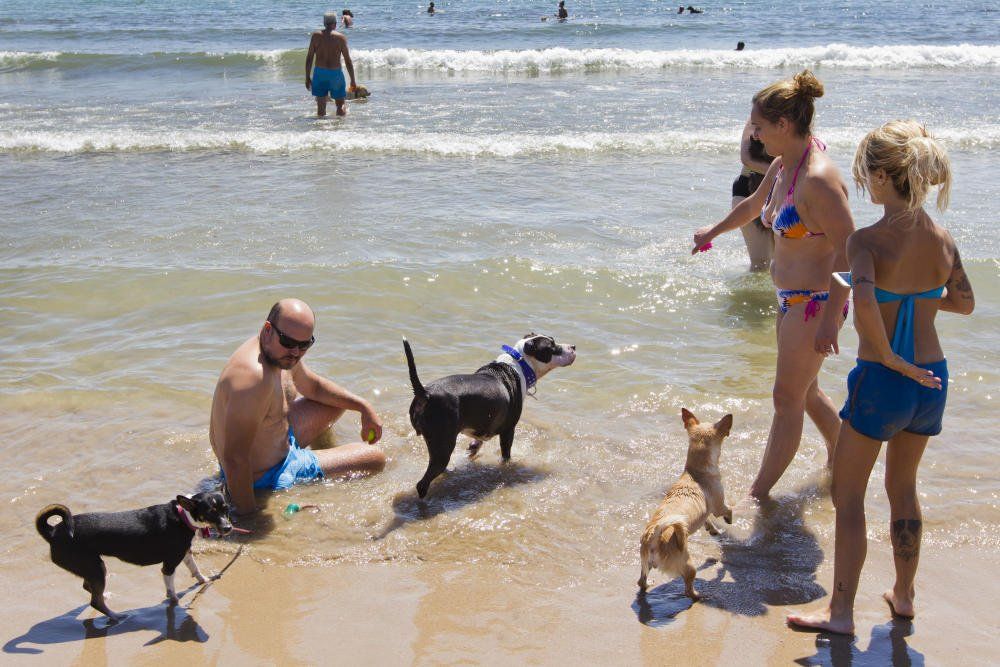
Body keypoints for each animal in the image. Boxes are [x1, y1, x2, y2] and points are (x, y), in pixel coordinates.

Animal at [36, 490, 233, 620]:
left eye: (226, 509)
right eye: (210, 513)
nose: (228, 528)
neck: (182, 516)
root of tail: (53, 532)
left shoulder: (185, 552)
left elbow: (195, 568)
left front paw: (204, 580)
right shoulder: (169, 565)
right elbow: (171, 590)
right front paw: (175, 603)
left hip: (92, 568)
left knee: (89, 589)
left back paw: (105, 597)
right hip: (95, 567)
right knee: (95, 602)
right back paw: (116, 616)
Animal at [400, 332, 576, 496]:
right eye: (552, 347)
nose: (573, 346)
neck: (519, 363)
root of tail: (425, 393)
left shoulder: (485, 424)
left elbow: (477, 441)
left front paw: (473, 448)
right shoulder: (508, 431)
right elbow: (506, 456)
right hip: (443, 447)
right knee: (423, 483)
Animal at [640, 408, 736, 600]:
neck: (695, 473)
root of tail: (654, 537)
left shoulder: (707, 511)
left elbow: (707, 519)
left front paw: (712, 529)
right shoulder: (718, 506)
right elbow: (727, 509)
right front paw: (728, 520)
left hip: (644, 565)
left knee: (641, 582)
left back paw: (647, 584)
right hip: (689, 565)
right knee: (688, 588)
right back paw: (698, 595)